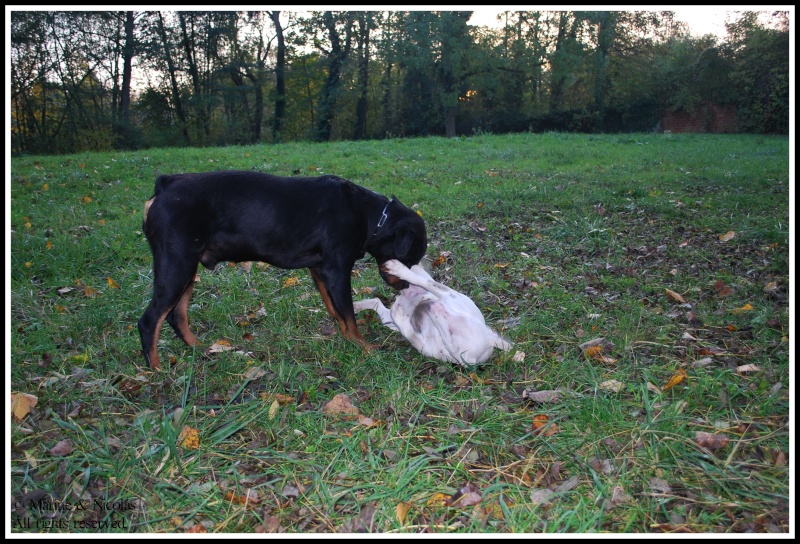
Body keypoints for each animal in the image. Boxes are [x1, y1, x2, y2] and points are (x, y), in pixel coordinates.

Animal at [139, 171, 424, 370]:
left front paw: (341, 326)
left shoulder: (319, 268)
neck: (372, 217)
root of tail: (165, 184)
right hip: (177, 265)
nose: (407, 287)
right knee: (150, 320)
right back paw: (157, 370)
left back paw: (200, 349)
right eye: (410, 259)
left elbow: (335, 307)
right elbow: (347, 313)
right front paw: (362, 345)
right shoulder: (337, 270)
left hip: (187, 268)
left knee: (177, 315)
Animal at [356, 258, 512, 368]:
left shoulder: (423, 342)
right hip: (447, 296)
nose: (428, 306)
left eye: (451, 337)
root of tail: (491, 339)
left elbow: (407, 329)